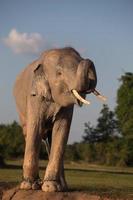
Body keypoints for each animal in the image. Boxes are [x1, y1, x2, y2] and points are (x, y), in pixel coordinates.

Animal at [13, 47, 98, 192]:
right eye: (59, 73)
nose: (88, 60)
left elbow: (61, 130)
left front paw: (51, 187)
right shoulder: (34, 96)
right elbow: (35, 127)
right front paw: (29, 186)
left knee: (51, 138)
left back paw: (62, 186)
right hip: (21, 111)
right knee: (27, 133)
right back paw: (32, 183)